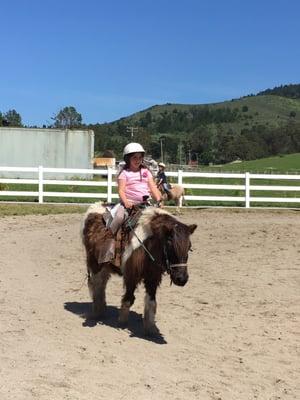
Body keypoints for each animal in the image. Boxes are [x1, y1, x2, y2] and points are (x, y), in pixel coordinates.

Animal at [81, 202, 197, 336]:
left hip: (104, 267)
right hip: (94, 263)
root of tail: (95, 207)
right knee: (97, 285)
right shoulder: (131, 276)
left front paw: (150, 329)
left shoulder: (153, 277)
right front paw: (122, 322)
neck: (148, 245)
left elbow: (151, 302)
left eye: (189, 247)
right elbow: (128, 299)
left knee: (101, 285)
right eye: (170, 245)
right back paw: (97, 312)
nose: (181, 279)